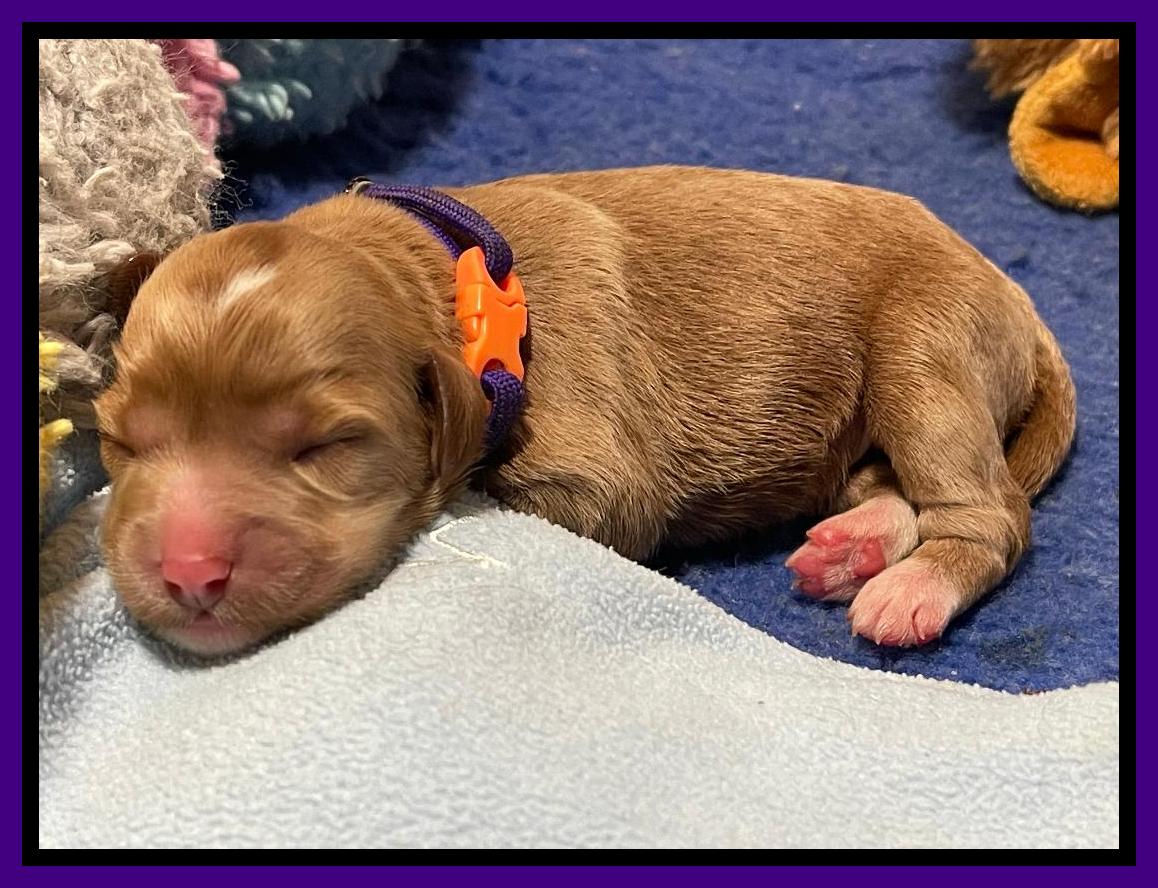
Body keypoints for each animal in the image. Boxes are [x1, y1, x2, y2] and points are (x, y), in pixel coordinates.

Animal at [94, 166, 1076, 655]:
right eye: (118, 440)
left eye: (327, 445)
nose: (187, 574)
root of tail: (1020, 304)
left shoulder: (595, 480)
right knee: (886, 484)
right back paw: (854, 547)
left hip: (923, 346)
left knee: (990, 511)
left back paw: (910, 590)